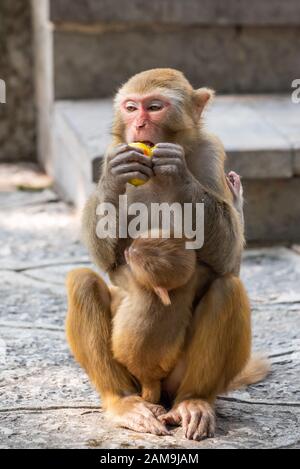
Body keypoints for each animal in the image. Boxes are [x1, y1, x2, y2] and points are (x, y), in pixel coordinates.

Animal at [110, 230, 202, 402]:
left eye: (144, 265)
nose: (128, 250)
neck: (170, 290)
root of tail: (148, 378)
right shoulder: (191, 281)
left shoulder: (133, 280)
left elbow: (115, 276)